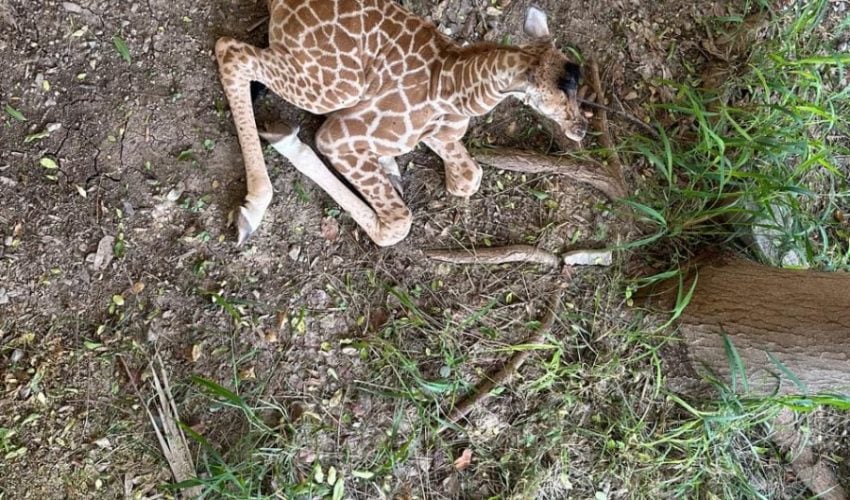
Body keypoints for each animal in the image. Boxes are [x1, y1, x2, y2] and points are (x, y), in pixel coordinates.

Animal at [215, 0, 587, 246]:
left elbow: (468, 178)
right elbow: (398, 224)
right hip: (336, 89)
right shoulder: (337, 136)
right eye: (559, 95)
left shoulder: (438, 134)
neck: (455, 88)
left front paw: (390, 166)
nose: (580, 128)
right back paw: (252, 208)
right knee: (231, 50)